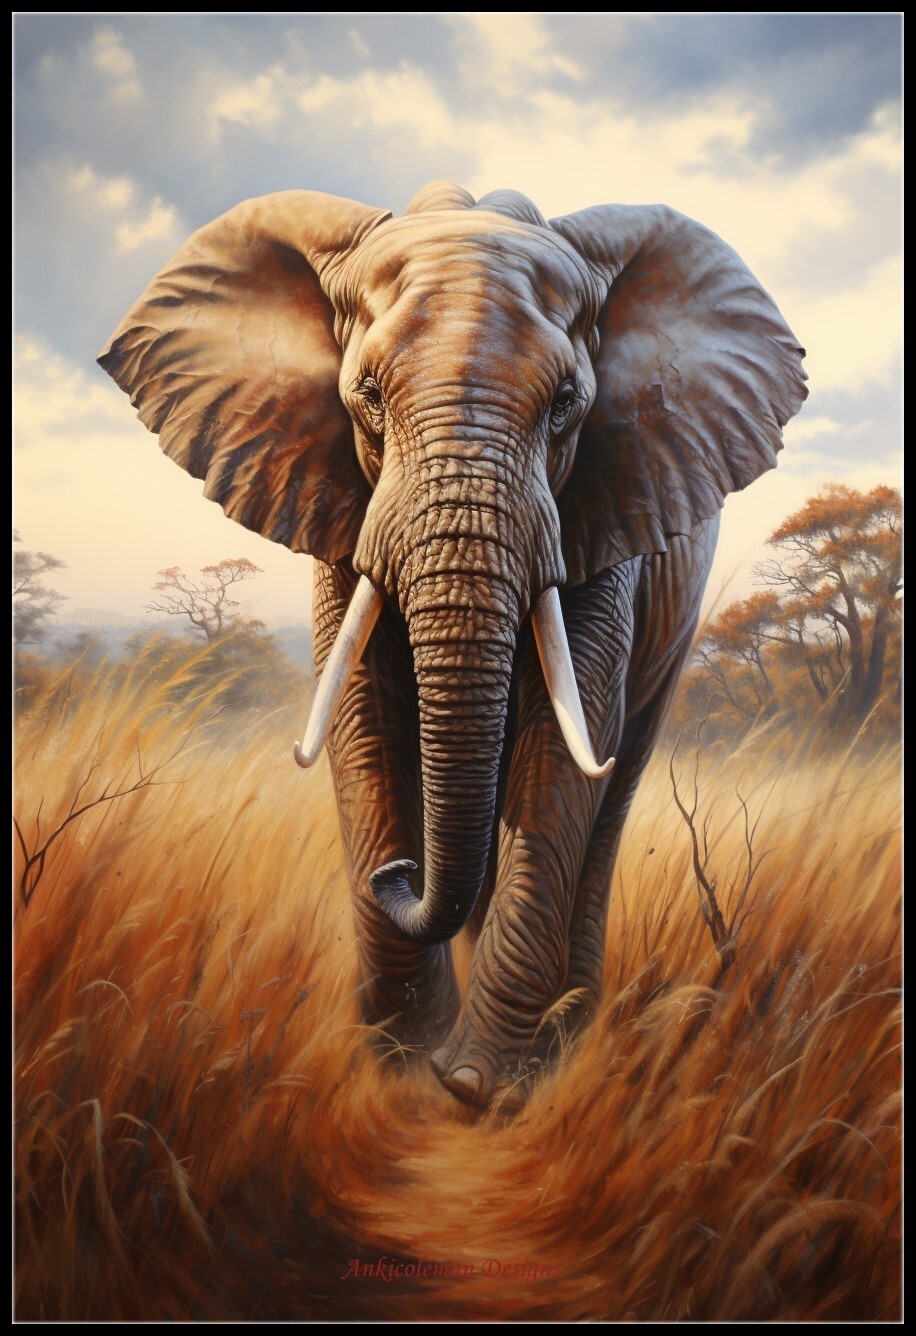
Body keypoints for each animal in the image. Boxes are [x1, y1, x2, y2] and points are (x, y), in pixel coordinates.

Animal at [99, 179, 806, 1110]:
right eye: (365, 394)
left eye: (567, 405)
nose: (399, 875)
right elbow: (360, 721)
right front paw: (405, 1067)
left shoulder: (603, 514)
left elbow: (563, 743)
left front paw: (479, 1083)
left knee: (612, 783)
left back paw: (567, 1033)